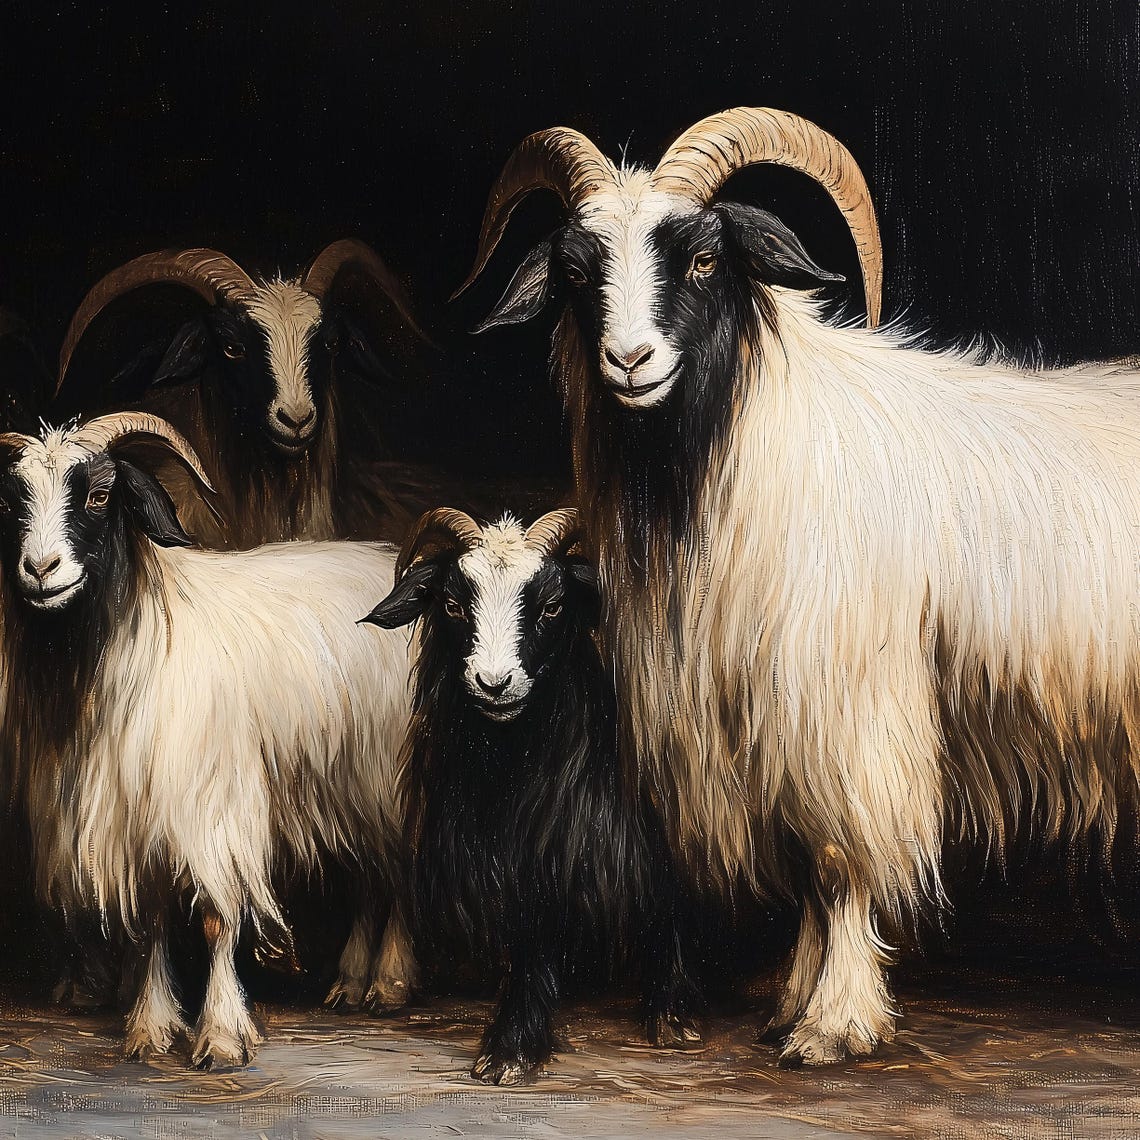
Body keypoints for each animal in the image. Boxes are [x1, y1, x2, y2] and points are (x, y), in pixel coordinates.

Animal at [0, 412, 416, 1066]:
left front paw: (220, 1035)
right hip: (343, 777)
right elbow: (150, 922)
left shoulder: (213, 810)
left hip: (388, 774)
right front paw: (149, 1028)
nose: (40, 570)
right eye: (14, 499)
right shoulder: (137, 816)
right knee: (370, 872)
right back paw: (351, 984)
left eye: (98, 494)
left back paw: (390, 983)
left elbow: (218, 917)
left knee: (397, 870)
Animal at [363, 507, 700, 1084]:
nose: (493, 684)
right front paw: (510, 1043)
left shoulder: (566, 851)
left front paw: (511, 1052)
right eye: (453, 604)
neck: (507, 774)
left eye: (553, 606)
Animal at [455, 106, 1140, 1065]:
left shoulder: (847, 706)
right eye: (578, 271)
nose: (630, 362)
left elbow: (844, 858)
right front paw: (791, 1000)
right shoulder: (772, 712)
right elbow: (808, 864)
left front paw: (834, 1023)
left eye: (704, 258)